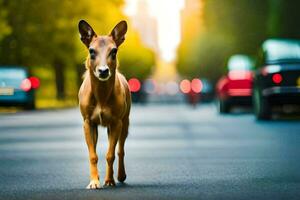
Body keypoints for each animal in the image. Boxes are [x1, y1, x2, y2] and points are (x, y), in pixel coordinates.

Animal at [77, 19, 130, 188]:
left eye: (114, 51)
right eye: (91, 51)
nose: (103, 71)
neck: (101, 97)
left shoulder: (116, 121)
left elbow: (110, 154)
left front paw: (109, 181)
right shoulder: (87, 121)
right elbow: (93, 154)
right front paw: (94, 182)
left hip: (125, 119)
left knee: (121, 149)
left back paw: (120, 176)